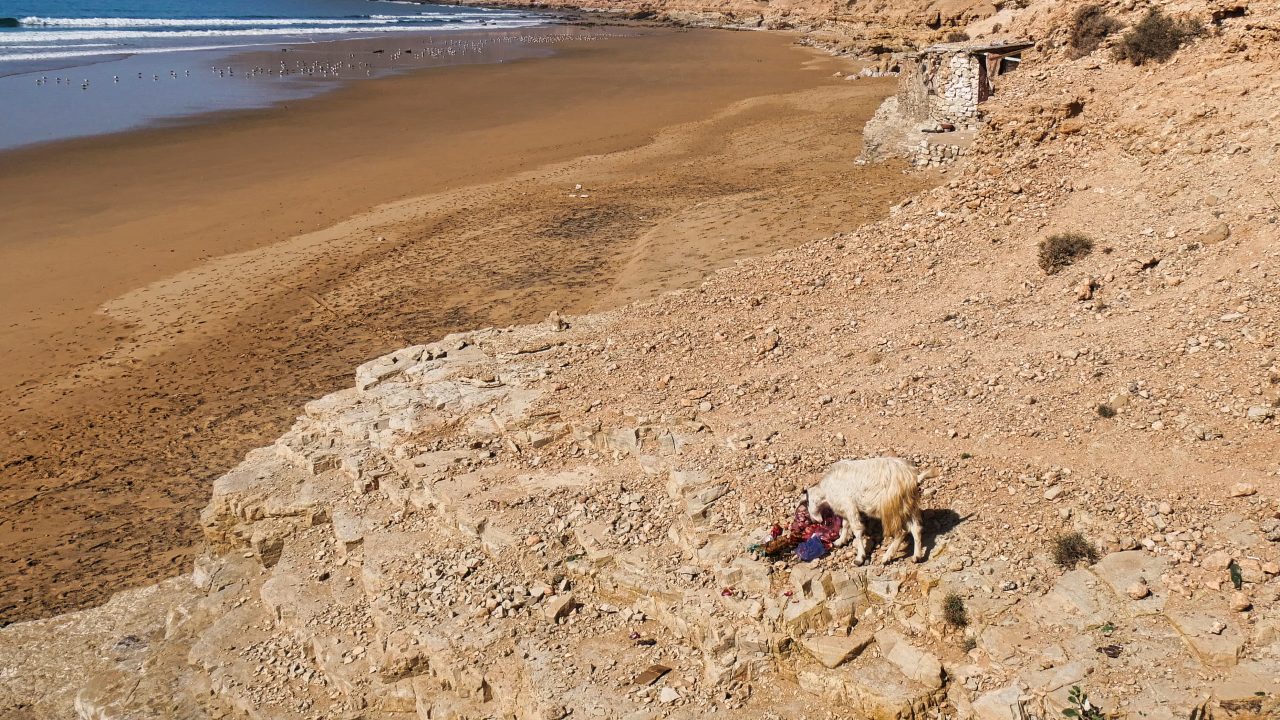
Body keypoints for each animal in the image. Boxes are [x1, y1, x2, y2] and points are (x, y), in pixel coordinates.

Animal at [805, 457, 934, 565]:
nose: (814, 521)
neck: (826, 489)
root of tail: (912, 477)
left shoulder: (849, 505)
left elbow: (856, 530)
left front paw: (859, 558)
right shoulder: (846, 509)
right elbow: (845, 525)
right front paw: (839, 541)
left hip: (891, 508)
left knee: (901, 532)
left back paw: (886, 557)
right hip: (908, 506)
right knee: (916, 529)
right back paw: (916, 556)